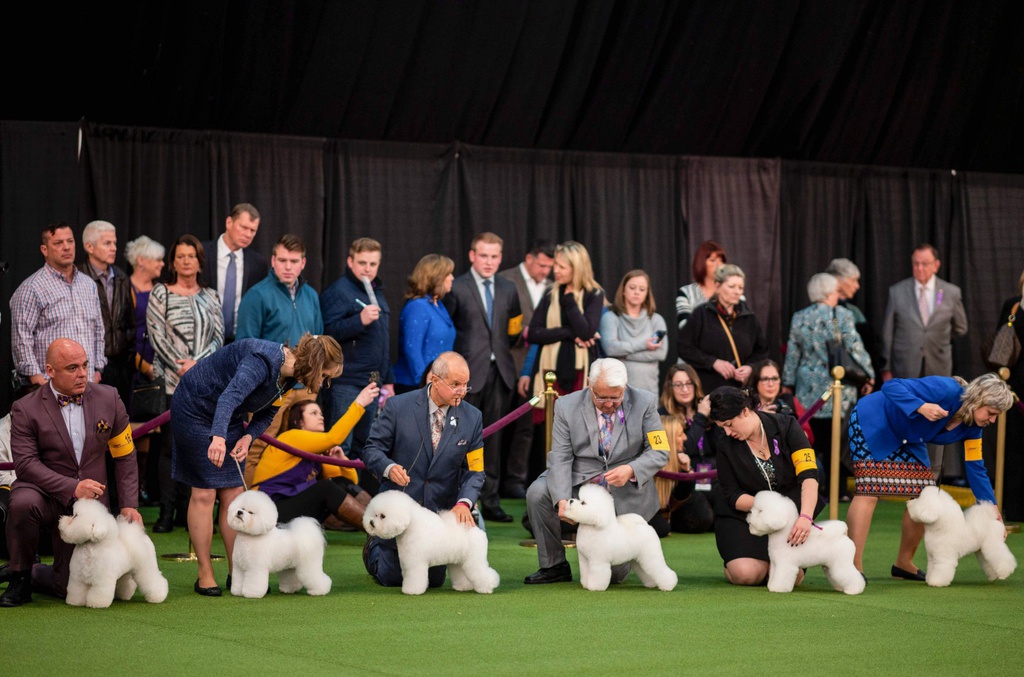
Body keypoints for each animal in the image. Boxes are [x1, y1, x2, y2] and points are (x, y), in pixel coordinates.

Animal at [364, 487, 499, 594]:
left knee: (483, 573)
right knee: (461, 574)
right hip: (459, 561)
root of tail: (477, 530)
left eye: (383, 516)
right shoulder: (407, 561)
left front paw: (411, 590)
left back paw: (488, 587)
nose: (371, 523)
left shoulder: (416, 562)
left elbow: (415, 577)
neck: (411, 526)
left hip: (474, 559)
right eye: (374, 514)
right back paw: (463, 587)